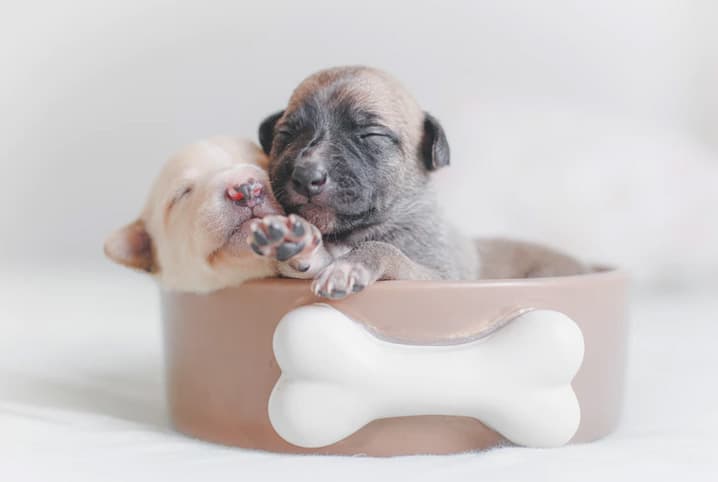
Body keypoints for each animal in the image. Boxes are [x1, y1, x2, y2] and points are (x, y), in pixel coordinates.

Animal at [256, 64, 588, 298]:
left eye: (371, 135)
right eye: (285, 134)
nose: (305, 176)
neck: (348, 236)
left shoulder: (438, 277)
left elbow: (387, 251)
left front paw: (352, 264)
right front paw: (296, 244)